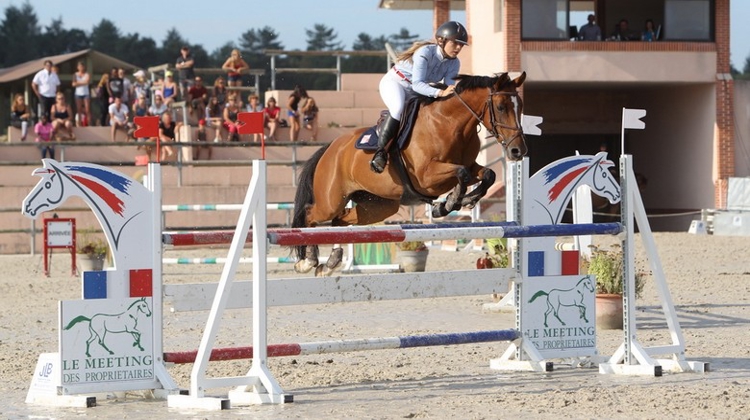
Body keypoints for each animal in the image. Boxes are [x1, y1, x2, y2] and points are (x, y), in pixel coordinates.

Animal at [292, 72, 528, 276]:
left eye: (520, 107)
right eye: (501, 107)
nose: (518, 151)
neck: (450, 123)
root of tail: (331, 147)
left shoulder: (470, 165)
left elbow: (487, 175)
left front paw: (463, 200)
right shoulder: (426, 177)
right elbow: (461, 175)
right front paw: (449, 203)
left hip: (377, 207)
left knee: (339, 221)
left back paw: (330, 263)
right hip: (331, 201)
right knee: (311, 215)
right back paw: (307, 261)